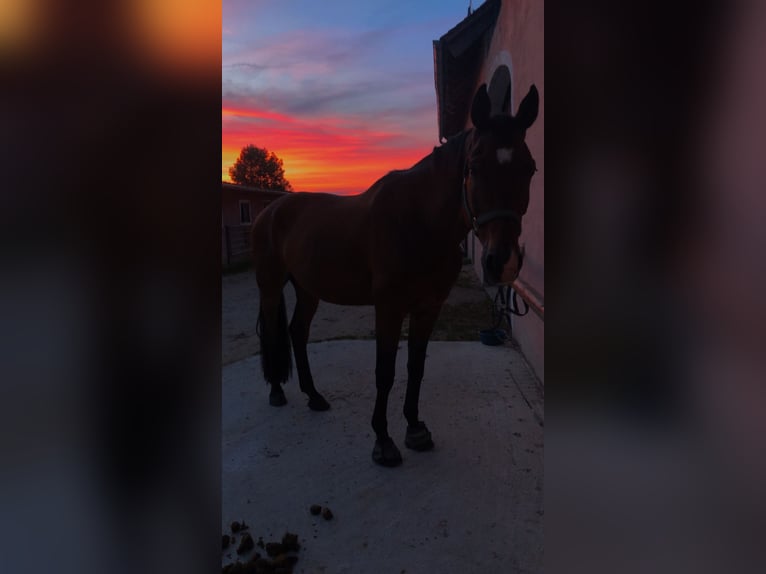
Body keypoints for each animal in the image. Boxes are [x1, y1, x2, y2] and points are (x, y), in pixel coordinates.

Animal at [252, 84, 540, 468]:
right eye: (475, 166)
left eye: (530, 168)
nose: (502, 262)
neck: (420, 221)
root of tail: (270, 211)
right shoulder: (388, 307)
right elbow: (385, 371)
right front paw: (384, 442)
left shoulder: (428, 307)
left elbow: (415, 367)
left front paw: (415, 429)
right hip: (270, 286)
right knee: (273, 331)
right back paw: (276, 392)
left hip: (308, 290)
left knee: (297, 332)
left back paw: (314, 396)